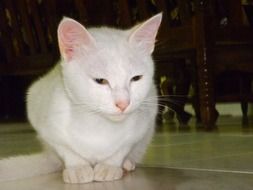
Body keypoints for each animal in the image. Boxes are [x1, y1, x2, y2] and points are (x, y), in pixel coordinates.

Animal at [0, 13, 162, 183]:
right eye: (100, 80)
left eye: (136, 78)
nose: (123, 103)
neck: (99, 125)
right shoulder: (41, 115)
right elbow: (65, 148)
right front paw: (77, 167)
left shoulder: (144, 121)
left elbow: (123, 147)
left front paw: (110, 165)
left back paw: (127, 163)